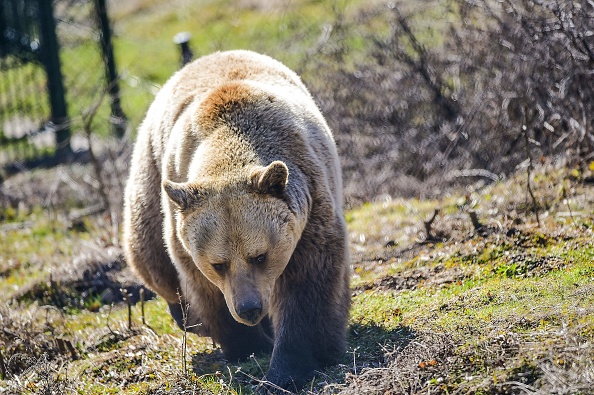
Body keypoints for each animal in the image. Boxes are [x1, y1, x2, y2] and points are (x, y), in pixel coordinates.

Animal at [122, 50, 350, 392]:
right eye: (219, 264)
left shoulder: (311, 205)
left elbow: (308, 285)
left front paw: (290, 365)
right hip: (149, 171)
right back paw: (189, 317)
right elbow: (203, 287)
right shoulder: (184, 220)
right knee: (151, 257)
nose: (249, 308)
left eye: (260, 256)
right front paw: (247, 345)